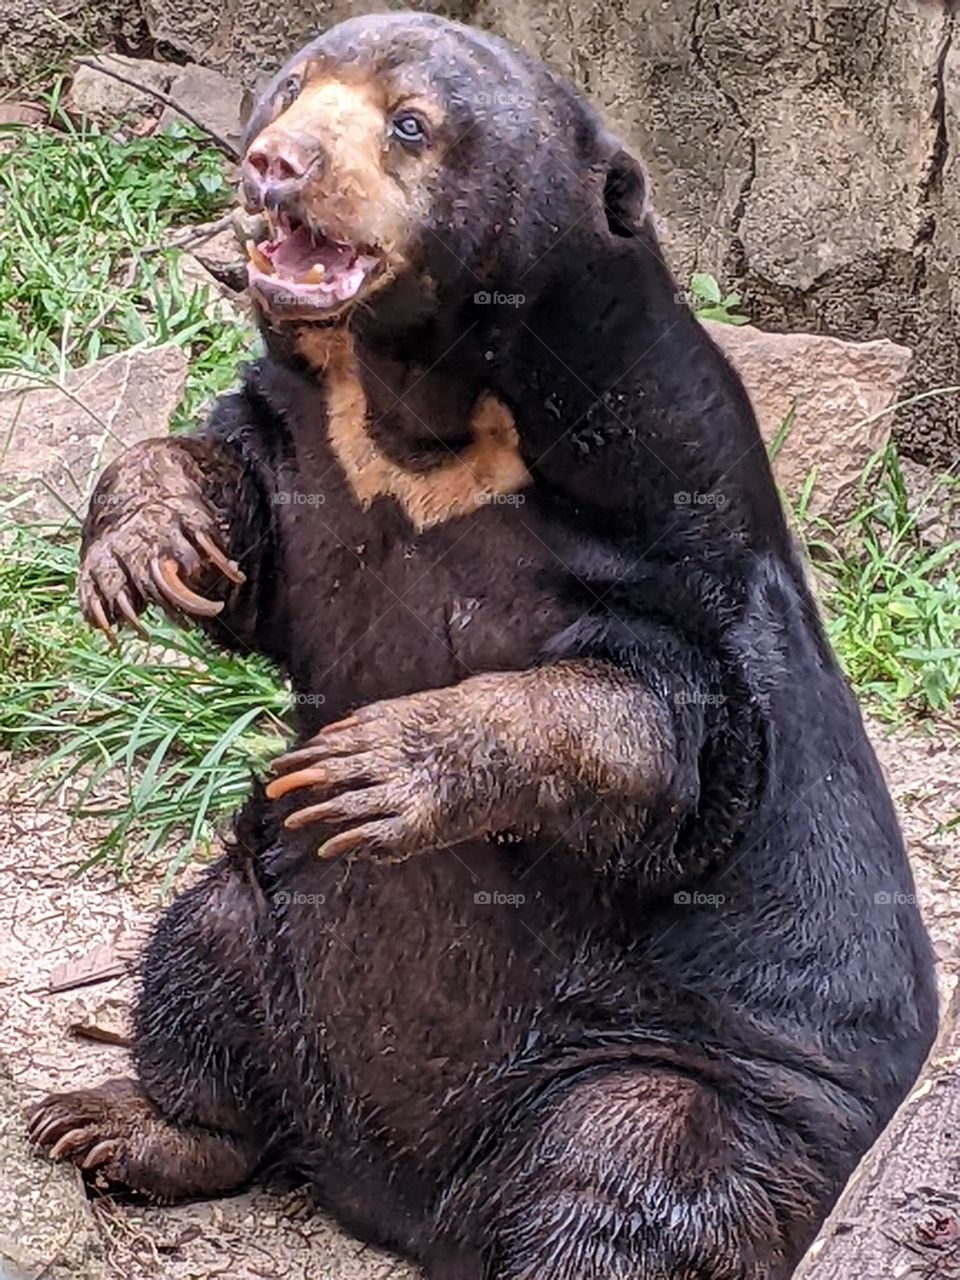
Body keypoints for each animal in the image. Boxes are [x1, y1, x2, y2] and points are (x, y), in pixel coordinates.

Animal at [29, 12, 937, 1280]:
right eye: (289, 88)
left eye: (410, 124)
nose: (273, 165)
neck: (427, 417)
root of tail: (401, 1197)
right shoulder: (315, 450)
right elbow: (241, 527)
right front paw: (139, 549)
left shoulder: (666, 528)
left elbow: (663, 732)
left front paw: (378, 767)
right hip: (267, 919)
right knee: (202, 960)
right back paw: (118, 1123)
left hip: (695, 1078)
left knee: (625, 1167)